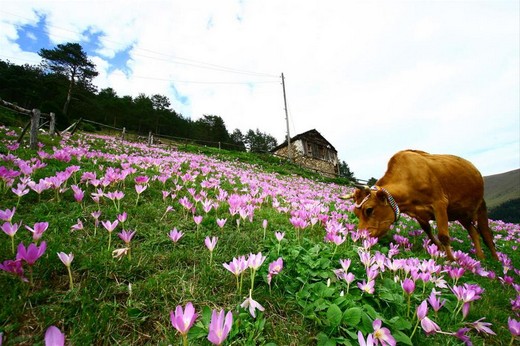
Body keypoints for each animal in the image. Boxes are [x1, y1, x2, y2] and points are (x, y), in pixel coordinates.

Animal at [342, 149, 500, 260]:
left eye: (369, 209)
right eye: (355, 213)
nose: (360, 237)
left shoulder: (439, 203)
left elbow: (443, 235)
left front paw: (451, 261)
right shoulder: (418, 213)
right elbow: (428, 232)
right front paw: (440, 251)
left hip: (480, 205)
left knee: (486, 233)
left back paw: (495, 259)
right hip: (461, 213)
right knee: (473, 231)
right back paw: (480, 257)